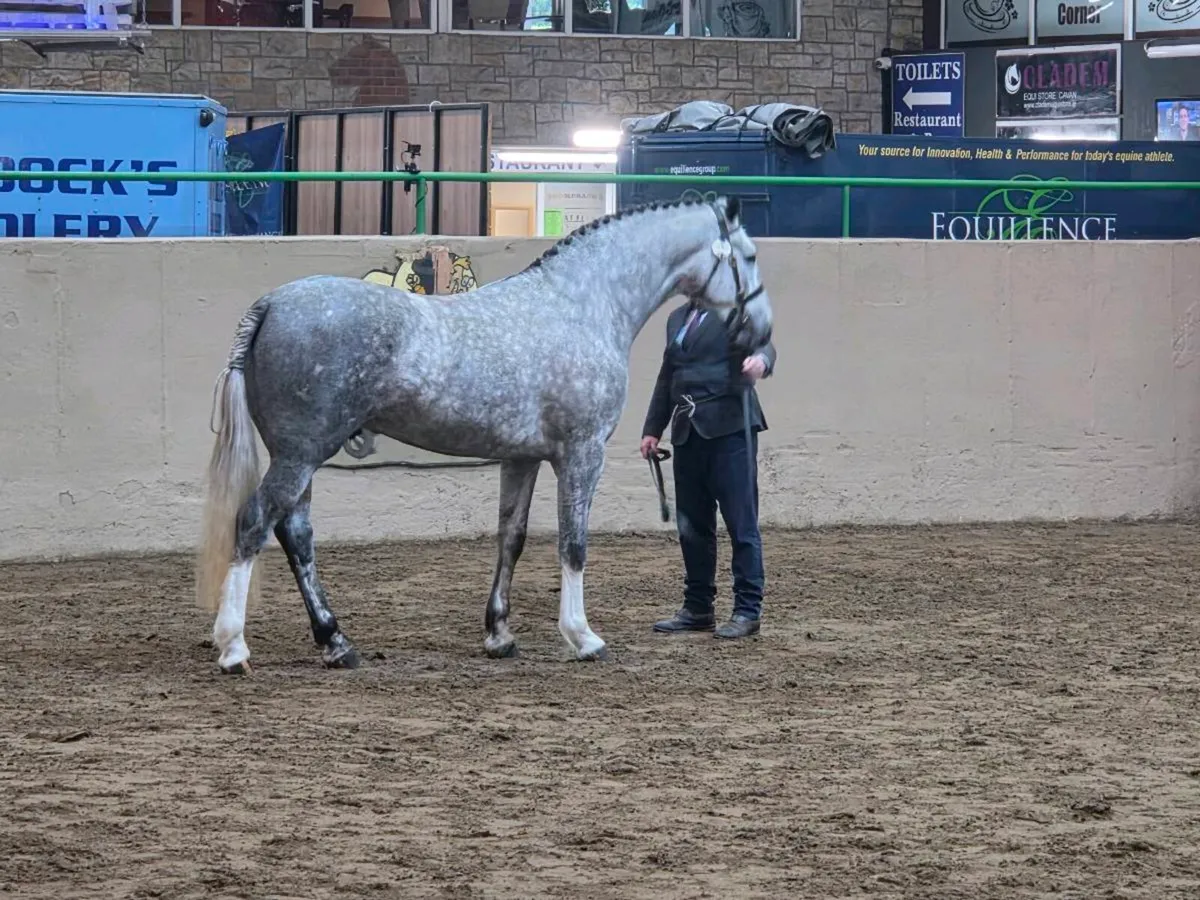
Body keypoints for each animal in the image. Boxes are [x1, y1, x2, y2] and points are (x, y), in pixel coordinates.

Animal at [195, 196, 774, 675]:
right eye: (747, 256)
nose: (762, 334)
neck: (580, 305)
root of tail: (271, 303)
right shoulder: (582, 453)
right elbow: (573, 544)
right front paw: (583, 637)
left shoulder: (522, 458)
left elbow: (510, 538)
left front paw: (499, 635)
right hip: (301, 454)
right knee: (254, 524)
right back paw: (234, 648)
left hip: (301, 456)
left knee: (296, 534)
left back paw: (336, 643)